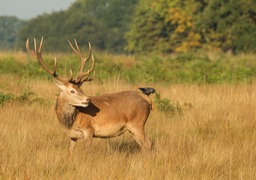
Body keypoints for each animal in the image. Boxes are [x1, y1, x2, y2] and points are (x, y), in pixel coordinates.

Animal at [26, 37, 155, 153]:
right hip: (132, 129)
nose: (88, 99)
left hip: (137, 124)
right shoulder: (72, 136)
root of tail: (147, 99)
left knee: (148, 144)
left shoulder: (88, 129)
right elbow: (69, 151)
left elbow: (87, 151)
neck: (69, 122)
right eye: (72, 91)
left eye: (80, 89)